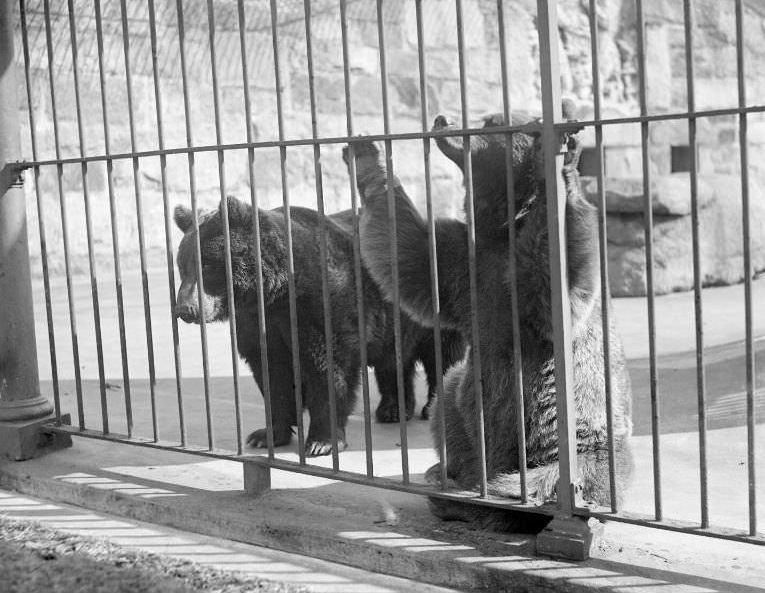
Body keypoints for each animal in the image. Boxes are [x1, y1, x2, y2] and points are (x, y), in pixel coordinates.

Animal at [174, 197, 466, 456]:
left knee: (443, 355)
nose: (185, 309)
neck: (276, 292)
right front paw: (266, 435)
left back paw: (432, 406)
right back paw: (393, 409)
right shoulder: (260, 322)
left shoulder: (322, 305)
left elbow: (327, 368)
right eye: (182, 265)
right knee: (393, 360)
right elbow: (271, 373)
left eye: (207, 265)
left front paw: (321, 442)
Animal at [346, 112, 632, 532]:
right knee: (448, 403)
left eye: (491, 120)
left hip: (587, 439)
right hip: (466, 416)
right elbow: (409, 252)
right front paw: (368, 153)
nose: (442, 118)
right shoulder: (464, 264)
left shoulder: (530, 292)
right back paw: (448, 478)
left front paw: (560, 162)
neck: (501, 226)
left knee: (566, 475)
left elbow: (555, 289)